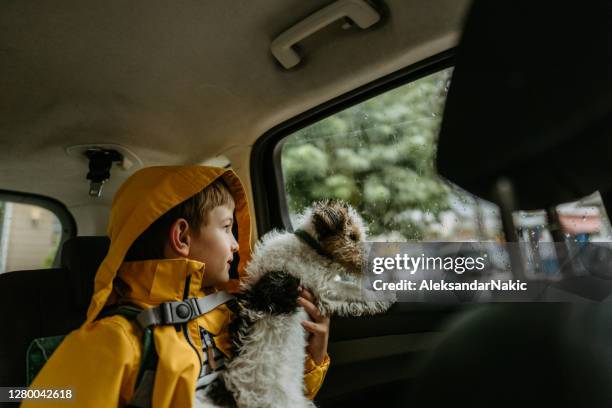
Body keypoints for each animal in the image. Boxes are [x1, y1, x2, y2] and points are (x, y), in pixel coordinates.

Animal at [198, 199, 394, 406]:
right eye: (352, 236)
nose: (375, 263)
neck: (311, 247)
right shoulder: (324, 289)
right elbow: (353, 290)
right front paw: (386, 295)